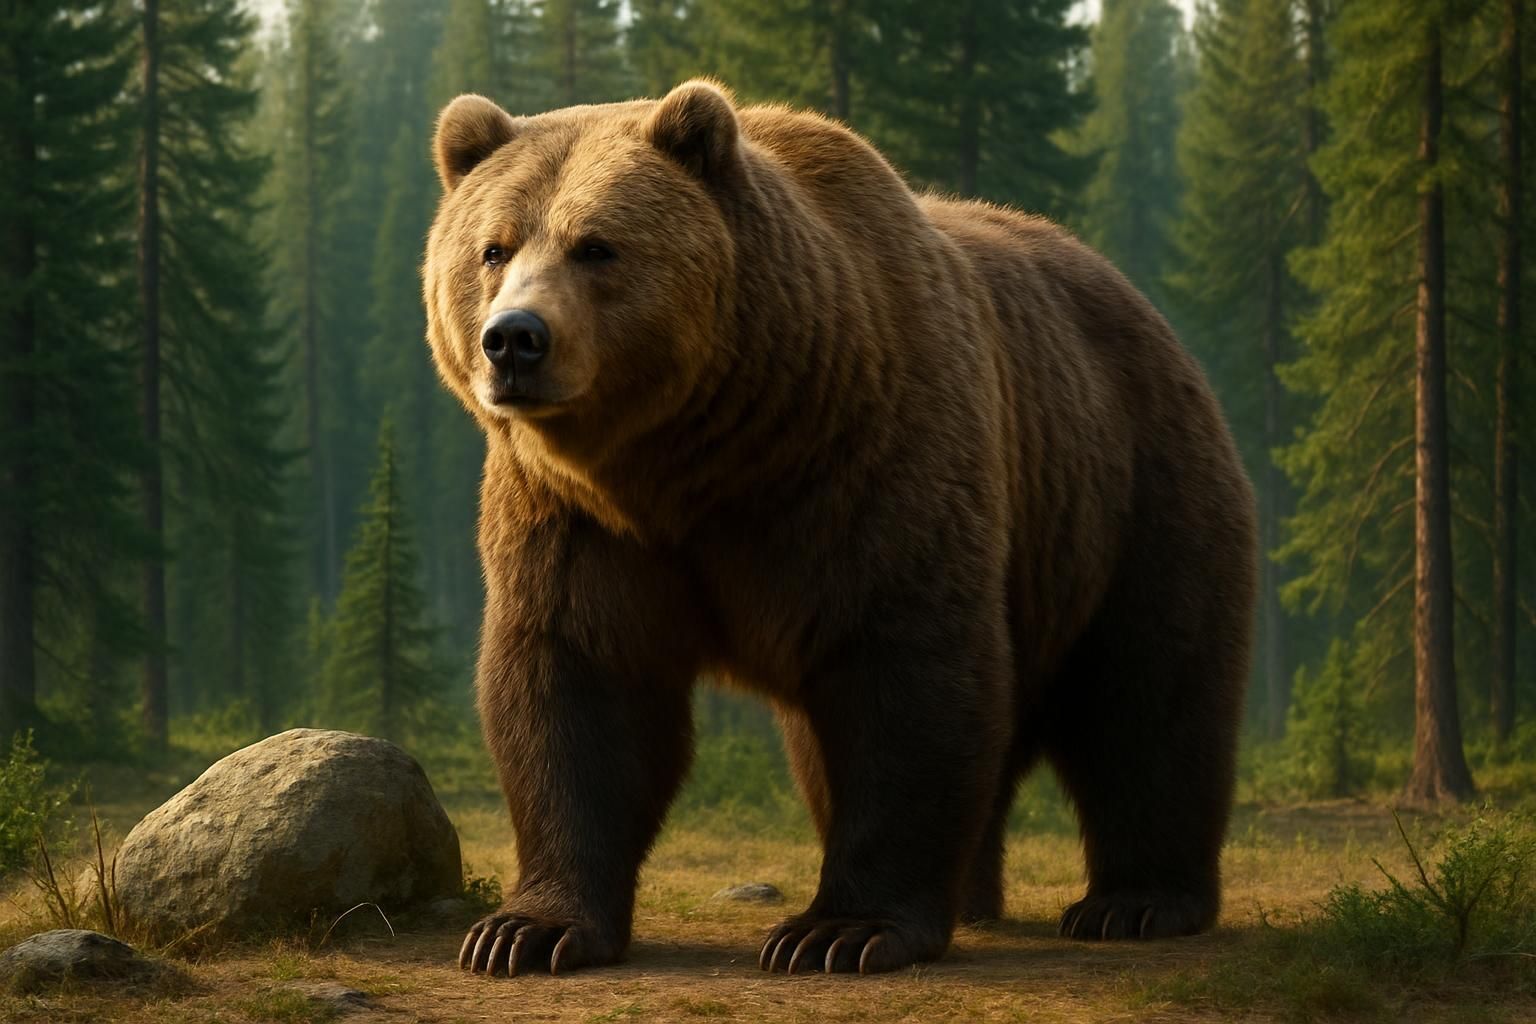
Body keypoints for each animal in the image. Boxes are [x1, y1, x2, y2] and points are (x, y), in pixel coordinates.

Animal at [423, 80, 1256, 978]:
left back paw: (1135, 903)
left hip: (1130, 488)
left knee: (1150, 693)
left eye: (597, 247)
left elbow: (905, 676)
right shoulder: (576, 522)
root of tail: (1143, 305)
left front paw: (838, 931)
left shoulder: (866, 468)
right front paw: (525, 929)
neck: (692, 463)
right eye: (493, 248)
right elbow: (577, 684)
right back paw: (974, 896)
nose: (515, 339)